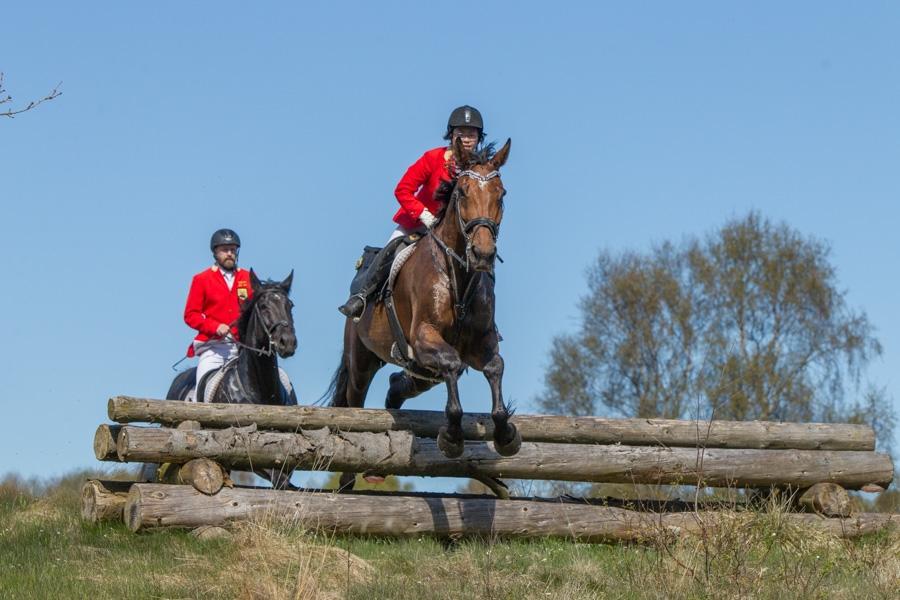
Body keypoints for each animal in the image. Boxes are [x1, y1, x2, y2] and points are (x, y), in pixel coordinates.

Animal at [325, 139, 520, 489]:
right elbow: (453, 365)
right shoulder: (424, 337)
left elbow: (495, 367)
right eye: (463, 192)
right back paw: (348, 480)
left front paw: (506, 435)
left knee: (398, 386)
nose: (483, 255)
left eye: (502, 193)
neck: (458, 274)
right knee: (354, 401)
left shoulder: (482, 344)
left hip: (421, 373)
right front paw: (452, 438)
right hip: (361, 359)